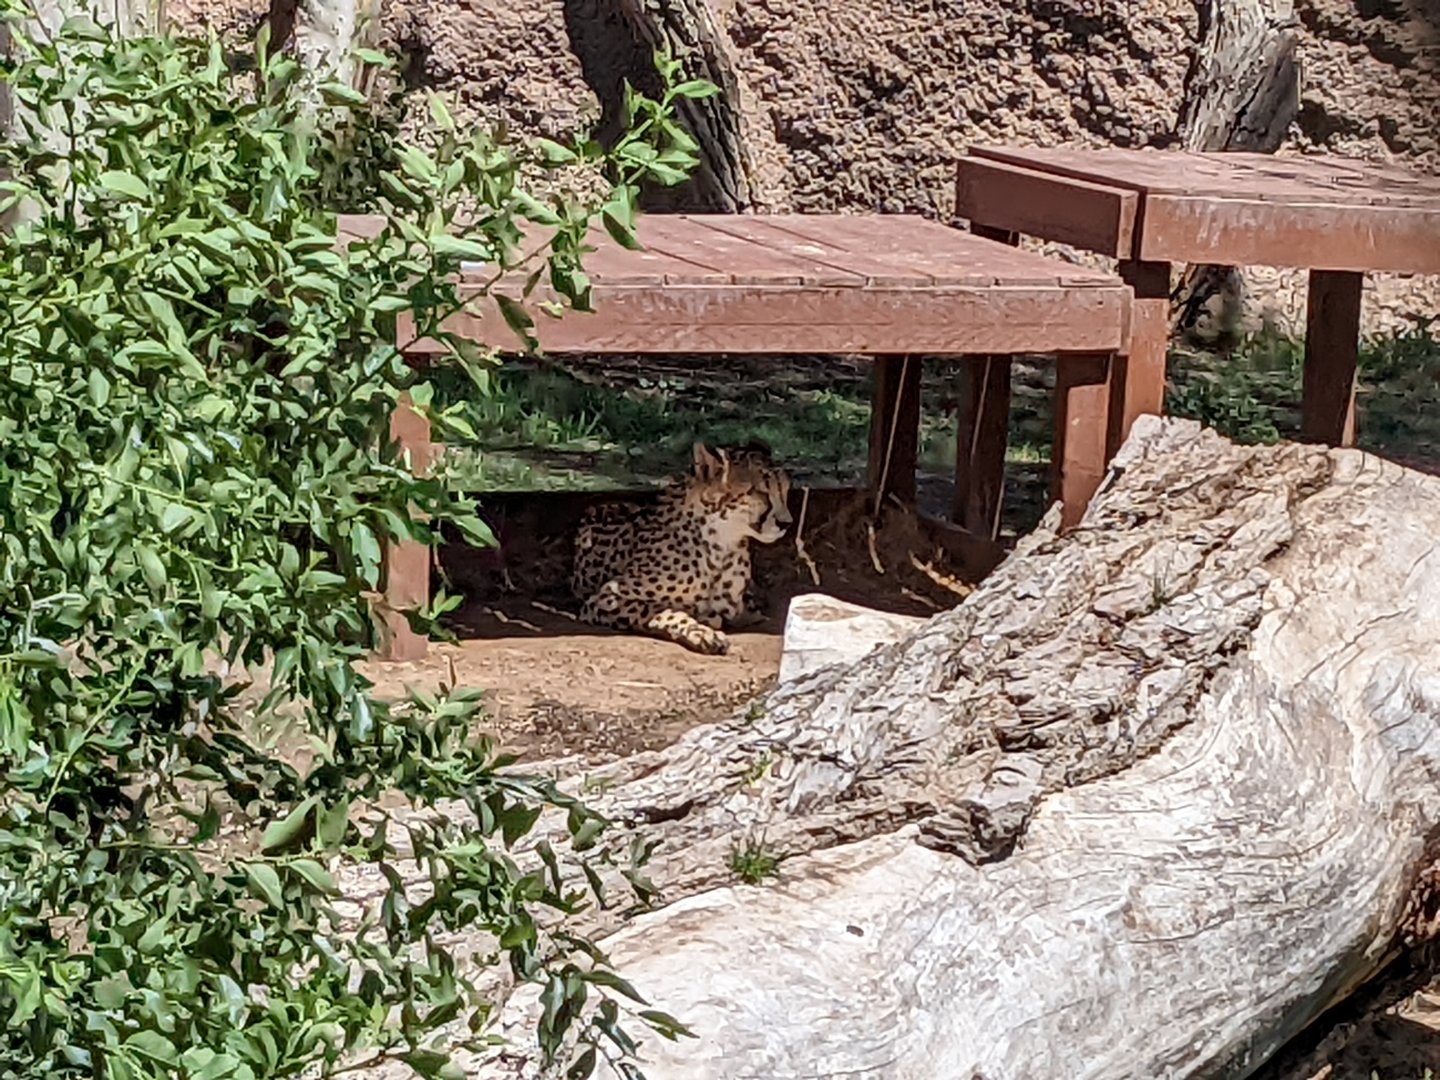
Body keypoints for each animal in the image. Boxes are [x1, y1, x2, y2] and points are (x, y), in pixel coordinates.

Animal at [571, 440, 793, 655]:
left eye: (785, 490)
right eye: (761, 492)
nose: (787, 523)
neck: (720, 545)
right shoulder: (604, 597)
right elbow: (660, 610)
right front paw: (702, 632)